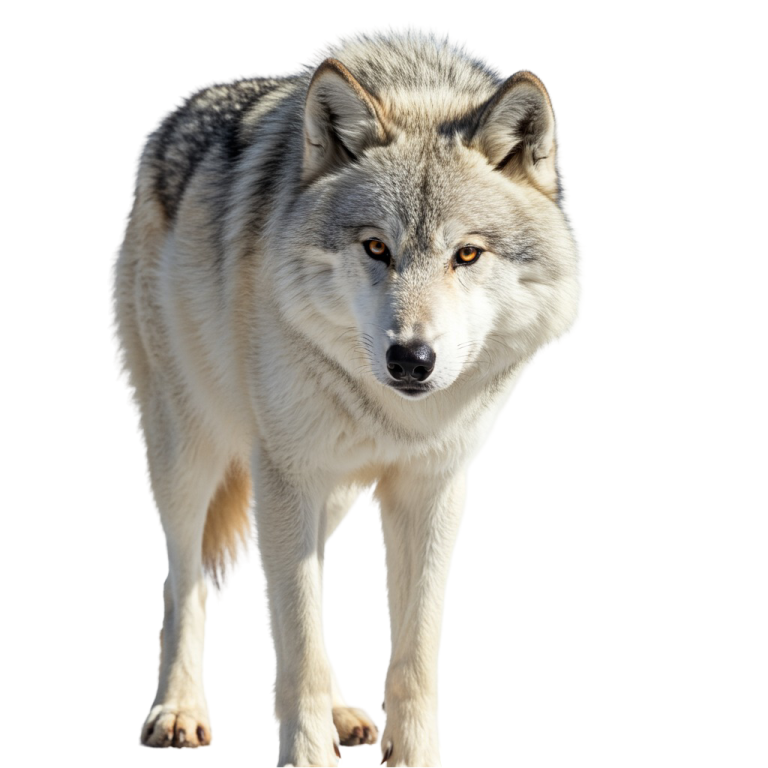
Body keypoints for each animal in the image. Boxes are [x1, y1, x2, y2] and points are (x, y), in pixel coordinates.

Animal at [107, 22, 586, 766]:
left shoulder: (431, 488)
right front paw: (306, 758)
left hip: (320, 494)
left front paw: (415, 760)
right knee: (182, 580)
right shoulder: (289, 476)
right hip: (190, 456)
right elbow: (296, 647)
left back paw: (342, 714)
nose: (411, 359)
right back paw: (180, 712)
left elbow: (413, 657)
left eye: (467, 255)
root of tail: (172, 115)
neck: (395, 417)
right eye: (375, 248)